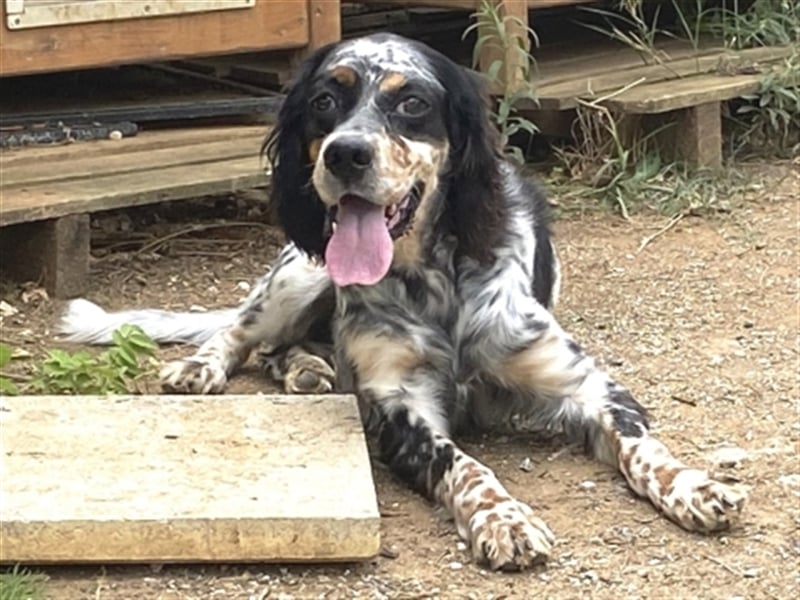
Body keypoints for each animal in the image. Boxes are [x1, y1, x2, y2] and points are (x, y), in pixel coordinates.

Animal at [61, 34, 744, 572]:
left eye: (411, 102)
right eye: (325, 100)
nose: (345, 153)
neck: (437, 283)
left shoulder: (585, 385)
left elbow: (641, 446)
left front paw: (692, 484)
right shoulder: (400, 405)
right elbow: (465, 466)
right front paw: (504, 519)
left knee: (285, 348)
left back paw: (308, 370)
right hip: (299, 274)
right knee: (244, 332)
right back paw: (209, 366)